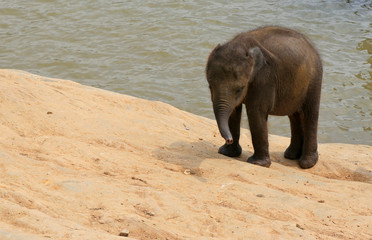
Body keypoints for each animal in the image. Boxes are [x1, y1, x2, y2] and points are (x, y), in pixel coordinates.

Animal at [206, 26, 322, 169]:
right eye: (210, 87)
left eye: (239, 89)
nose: (229, 139)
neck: (243, 45)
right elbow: (234, 111)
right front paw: (227, 153)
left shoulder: (265, 78)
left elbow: (256, 112)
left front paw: (258, 163)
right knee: (294, 115)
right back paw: (291, 155)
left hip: (314, 80)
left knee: (309, 115)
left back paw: (307, 163)